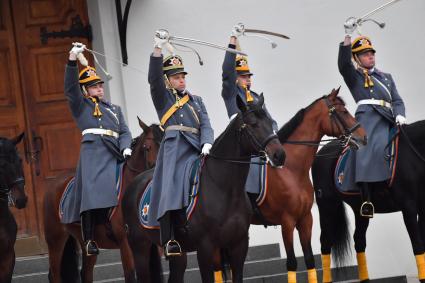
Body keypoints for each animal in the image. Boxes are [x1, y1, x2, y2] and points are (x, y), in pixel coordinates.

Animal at [43, 118, 162, 283]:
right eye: (148, 147)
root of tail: (55, 182)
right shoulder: (125, 243)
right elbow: (130, 275)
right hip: (55, 239)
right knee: (55, 274)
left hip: (85, 243)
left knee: (85, 273)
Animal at [121, 95, 284, 283]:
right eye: (252, 124)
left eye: (270, 122)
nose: (280, 155)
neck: (225, 188)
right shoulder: (205, 248)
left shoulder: (239, 245)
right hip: (139, 248)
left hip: (177, 253)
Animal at [310, 120, 424, 283]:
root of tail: (321, 152)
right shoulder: (408, 207)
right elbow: (418, 244)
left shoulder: (422, 207)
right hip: (327, 205)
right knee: (326, 242)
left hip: (360, 209)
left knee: (359, 241)